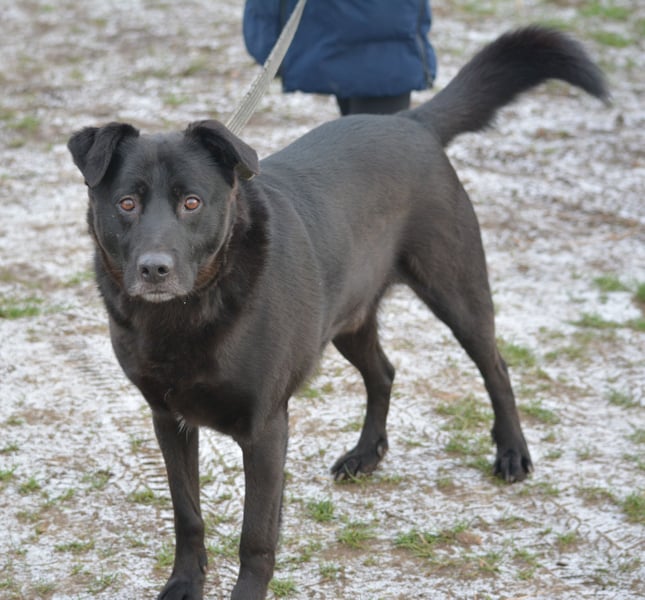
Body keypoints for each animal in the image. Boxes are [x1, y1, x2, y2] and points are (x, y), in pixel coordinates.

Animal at [68, 27, 607, 600]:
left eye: (191, 203)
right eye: (126, 204)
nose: (155, 269)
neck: (188, 312)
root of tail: (410, 122)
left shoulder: (265, 429)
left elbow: (255, 538)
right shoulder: (168, 419)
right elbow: (187, 513)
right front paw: (184, 583)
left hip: (456, 291)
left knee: (495, 366)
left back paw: (512, 453)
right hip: (346, 317)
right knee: (384, 372)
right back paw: (366, 454)